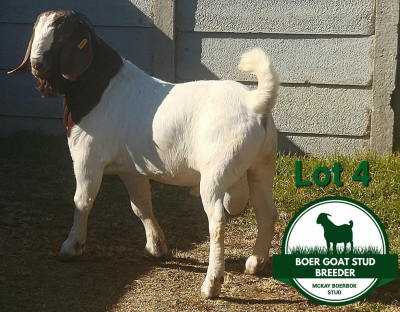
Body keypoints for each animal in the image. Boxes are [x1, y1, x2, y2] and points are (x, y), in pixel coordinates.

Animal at [8, 9, 278, 298]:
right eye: (36, 28)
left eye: (63, 34)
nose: (37, 64)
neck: (100, 87)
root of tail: (255, 102)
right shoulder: (131, 169)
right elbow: (141, 206)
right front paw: (155, 248)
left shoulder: (87, 157)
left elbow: (82, 200)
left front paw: (70, 247)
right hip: (261, 166)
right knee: (267, 213)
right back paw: (255, 263)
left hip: (217, 171)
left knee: (217, 222)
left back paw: (211, 284)